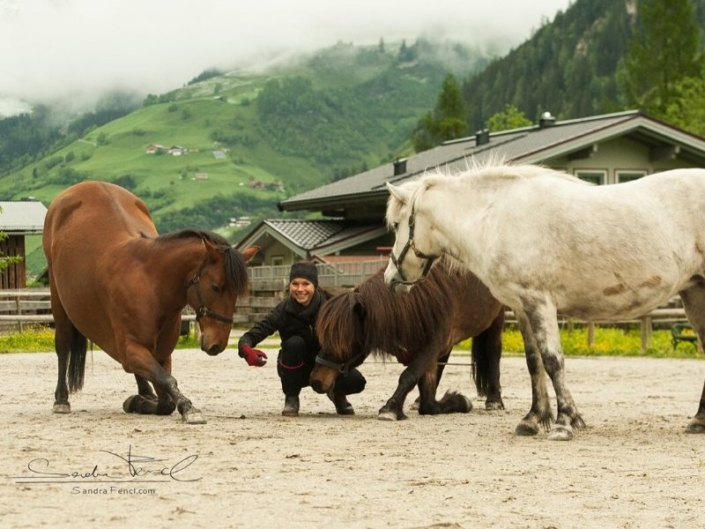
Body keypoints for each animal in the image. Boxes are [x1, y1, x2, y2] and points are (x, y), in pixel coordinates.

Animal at [41, 182, 258, 424]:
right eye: (216, 287)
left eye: (236, 293)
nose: (217, 344)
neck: (152, 286)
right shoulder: (130, 349)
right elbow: (167, 381)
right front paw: (188, 408)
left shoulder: (161, 353)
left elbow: (165, 394)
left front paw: (142, 402)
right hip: (58, 299)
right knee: (63, 344)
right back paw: (61, 399)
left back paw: (144, 394)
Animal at [310, 258, 504, 418]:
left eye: (344, 343)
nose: (316, 380)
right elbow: (428, 403)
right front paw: (455, 401)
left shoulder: (431, 346)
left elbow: (409, 376)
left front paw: (391, 408)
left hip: (496, 318)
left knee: (493, 351)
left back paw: (494, 400)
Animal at [382, 163, 704, 440]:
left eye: (397, 225)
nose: (390, 279)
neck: (495, 216)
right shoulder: (523, 308)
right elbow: (534, 362)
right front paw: (534, 419)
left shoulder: (541, 303)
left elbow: (553, 361)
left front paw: (563, 422)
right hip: (694, 293)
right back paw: (699, 421)